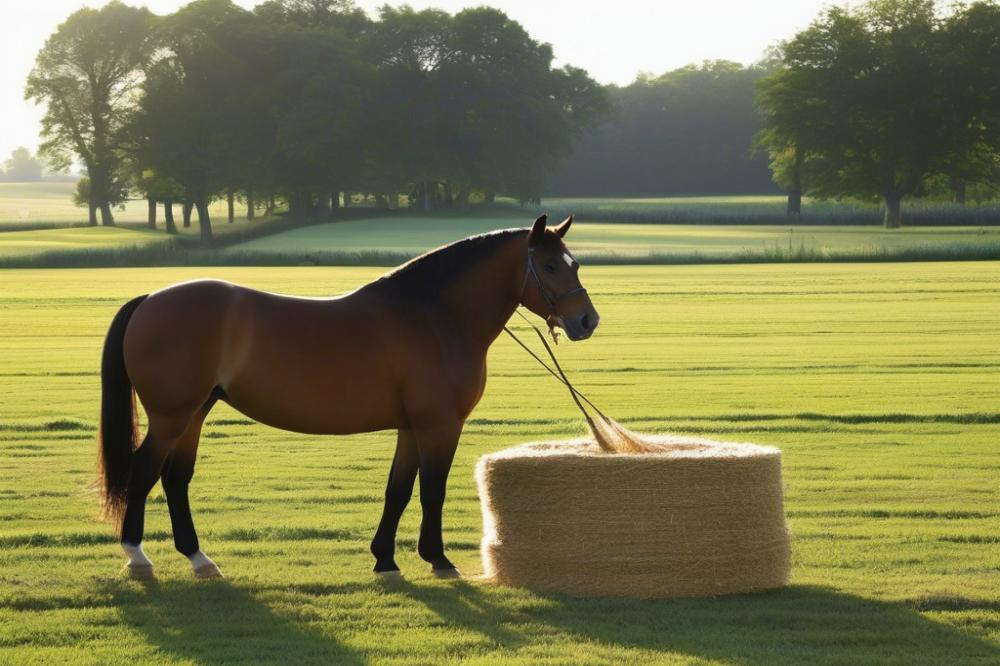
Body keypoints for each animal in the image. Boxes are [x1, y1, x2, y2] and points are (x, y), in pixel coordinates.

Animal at [99, 215, 600, 580]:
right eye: (550, 266)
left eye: (574, 264)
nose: (587, 321)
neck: (434, 316)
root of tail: (151, 299)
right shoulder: (439, 425)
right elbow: (432, 491)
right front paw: (438, 560)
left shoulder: (410, 427)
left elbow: (398, 490)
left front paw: (385, 559)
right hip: (171, 416)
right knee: (144, 472)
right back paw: (138, 557)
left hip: (194, 413)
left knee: (175, 478)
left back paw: (199, 559)